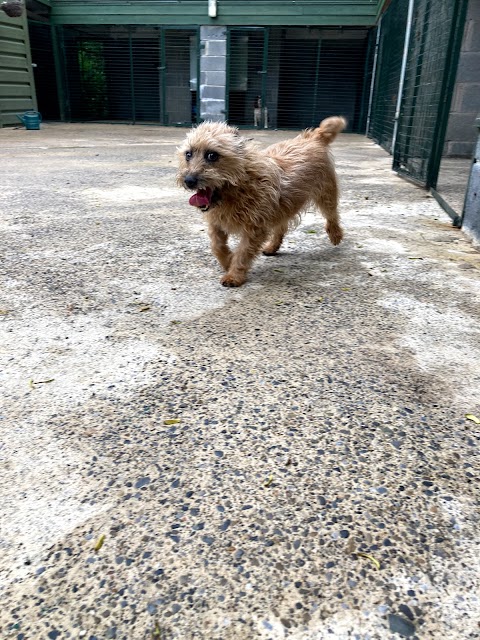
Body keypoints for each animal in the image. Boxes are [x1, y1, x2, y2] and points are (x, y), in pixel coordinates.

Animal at [176, 117, 344, 288]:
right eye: (188, 154)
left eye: (212, 155)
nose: (188, 180)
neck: (238, 186)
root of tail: (313, 137)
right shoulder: (216, 223)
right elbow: (217, 246)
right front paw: (228, 262)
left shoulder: (254, 229)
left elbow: (242, 253)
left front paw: (234, 275)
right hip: (283, 207)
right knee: (281, 226)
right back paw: (272, 246)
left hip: (326, 194)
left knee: (332, 215)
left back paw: (336, 235)